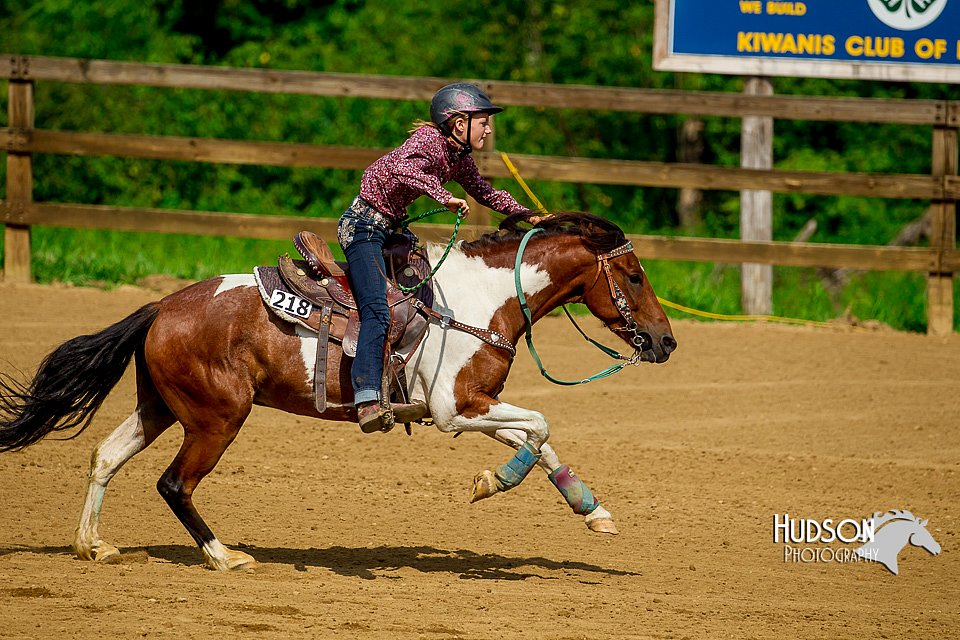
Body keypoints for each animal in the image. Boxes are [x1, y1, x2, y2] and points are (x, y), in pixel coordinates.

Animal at [0, 211, 676, 568]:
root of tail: (160, 307)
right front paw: (492, 482)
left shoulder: (473, 407)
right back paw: (225, 556)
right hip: (217, 418)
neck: (482, 300)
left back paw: (92, 545)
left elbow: (540, 438)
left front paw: (594, 512)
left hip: (161, 407)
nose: (666, 342)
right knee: (174, 484)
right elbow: (538, 426)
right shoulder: (454, 410)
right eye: (633, 275)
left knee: (105, 456)